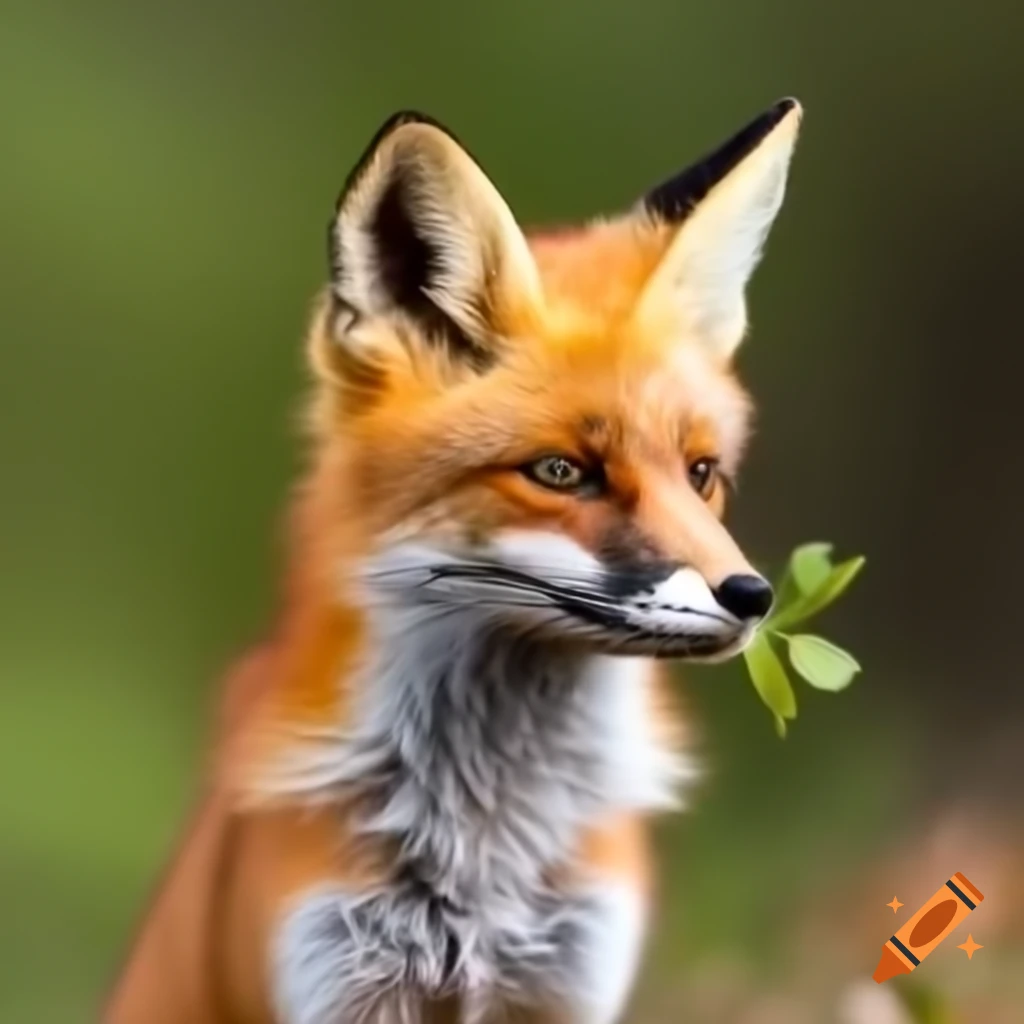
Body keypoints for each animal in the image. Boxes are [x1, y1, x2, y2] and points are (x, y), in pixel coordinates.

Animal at [104, 98, 803, 1024]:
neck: (483, 848)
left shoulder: (568, 980)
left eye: (701, 474)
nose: (751, 596)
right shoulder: (333, 977)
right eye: (561, 472)